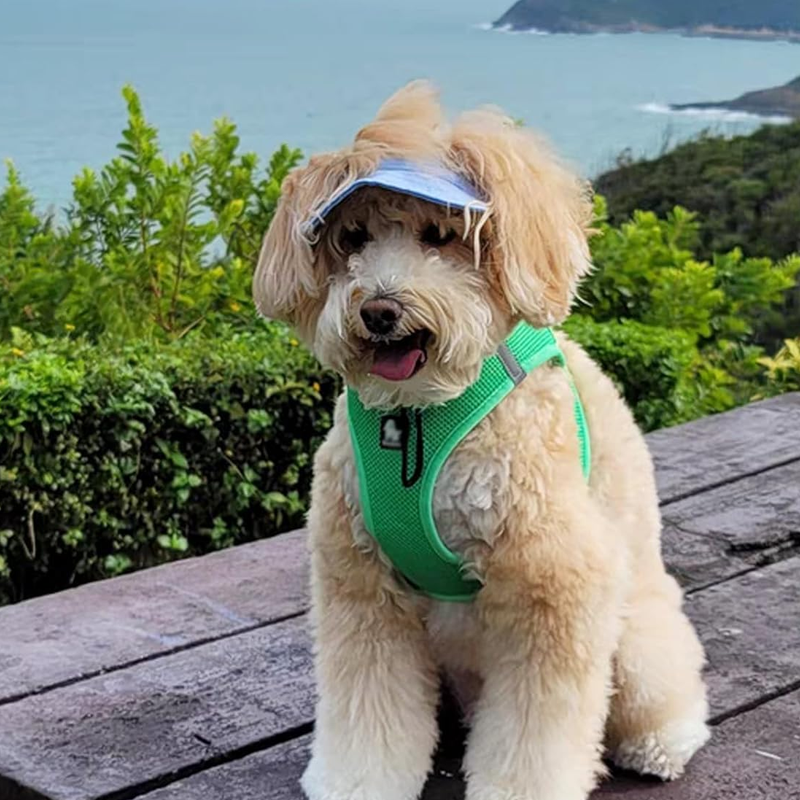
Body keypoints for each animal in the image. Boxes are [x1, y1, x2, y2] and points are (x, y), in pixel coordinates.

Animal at [253, 81, 708, 800]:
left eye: (440, 235)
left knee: (667, 688)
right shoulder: (361, 586)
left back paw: (662, 742)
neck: (419, 418)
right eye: (353, 237)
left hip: (635, 639)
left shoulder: (553, 586)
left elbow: (536, 733)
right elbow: (366, 707)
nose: (379, 309)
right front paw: (356, 782)